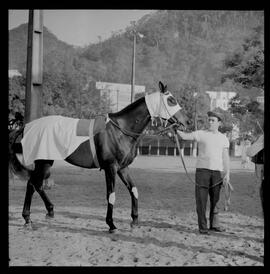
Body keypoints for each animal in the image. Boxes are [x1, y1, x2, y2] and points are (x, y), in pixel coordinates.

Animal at [8, 81, 190, 231]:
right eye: (171, 100)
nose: (186, 121)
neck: (120, 130)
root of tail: (28, 126)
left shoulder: (123, 168)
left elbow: (134, 190)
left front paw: (134, 220)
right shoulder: (111, 167)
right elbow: (111, 195)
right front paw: (111, 224)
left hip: (46, 163)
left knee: (36, 184)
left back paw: (48, 212)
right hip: (43, 162)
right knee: (32, 184)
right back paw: (28, 219)